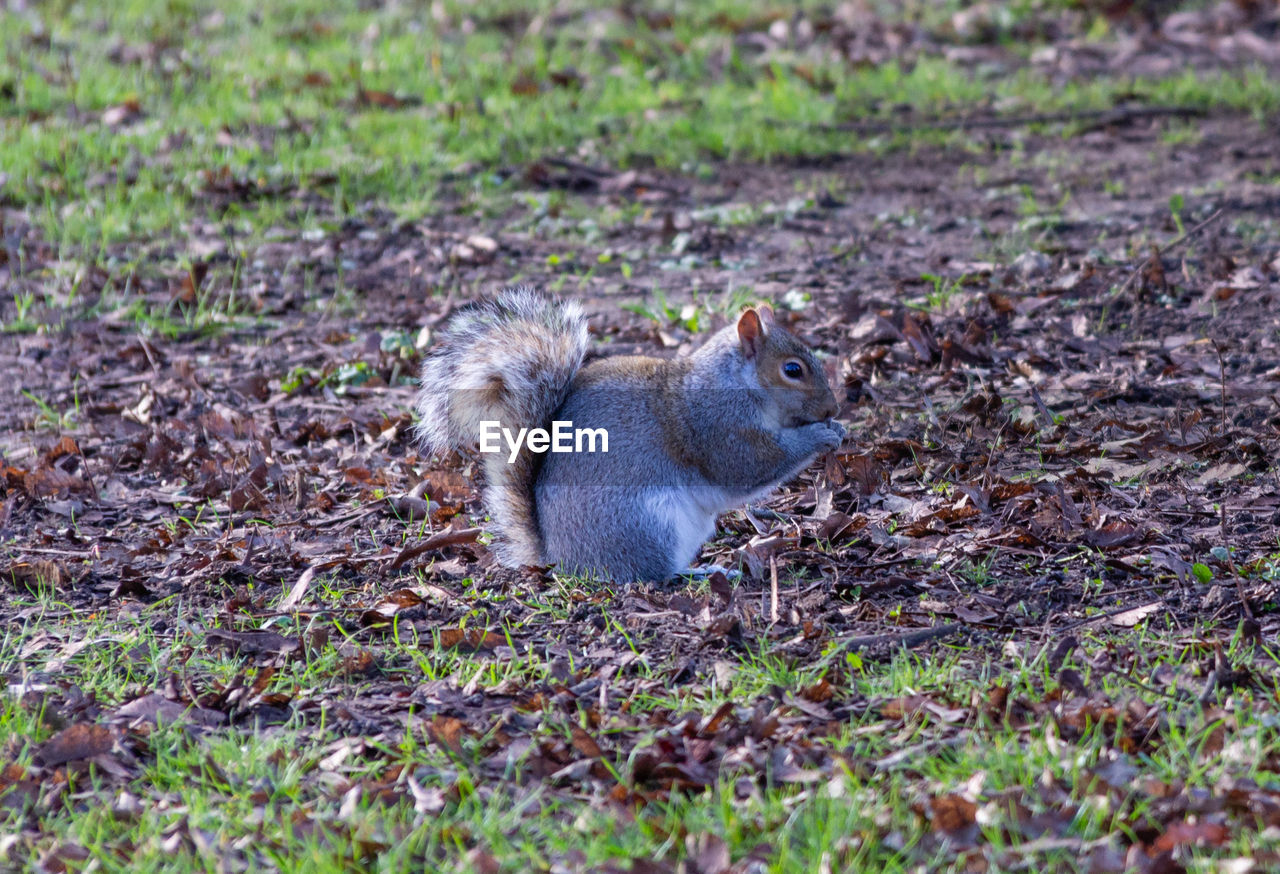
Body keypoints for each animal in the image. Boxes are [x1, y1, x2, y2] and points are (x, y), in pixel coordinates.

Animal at [414, 286, 844, 583]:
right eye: (792, 370)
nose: (832, 409)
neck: (735, 383)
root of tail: (561, 557)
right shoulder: (716, 426)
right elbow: (752, 466)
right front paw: (820, 435)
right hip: (649, 523)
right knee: (651, 574)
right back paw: (700, 574)